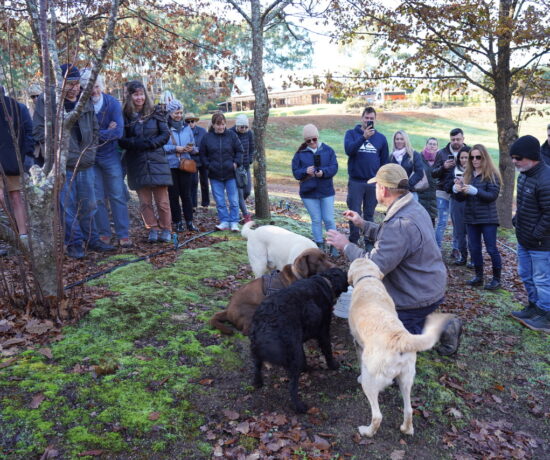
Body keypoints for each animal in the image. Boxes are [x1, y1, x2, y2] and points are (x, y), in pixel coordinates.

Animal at [251, 266, 350, 414]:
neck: (324, 281)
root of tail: (266, 320)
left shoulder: (300, 340)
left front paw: (306, 368)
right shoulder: (323, 331)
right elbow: (328, 350)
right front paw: (333, 365)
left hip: (259, 348)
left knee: (257, 367)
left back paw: (258, 383)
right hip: (292, 353)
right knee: (292, 387)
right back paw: (299, 407)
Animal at [350, 258, 452, 438]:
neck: (368, 279)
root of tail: (399, 338)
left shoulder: (358, 344)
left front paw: (359, 375)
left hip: (371, 382)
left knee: (377, 416)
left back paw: (367, 431)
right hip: (406, 378)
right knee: (409, 409)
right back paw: (406, 429)